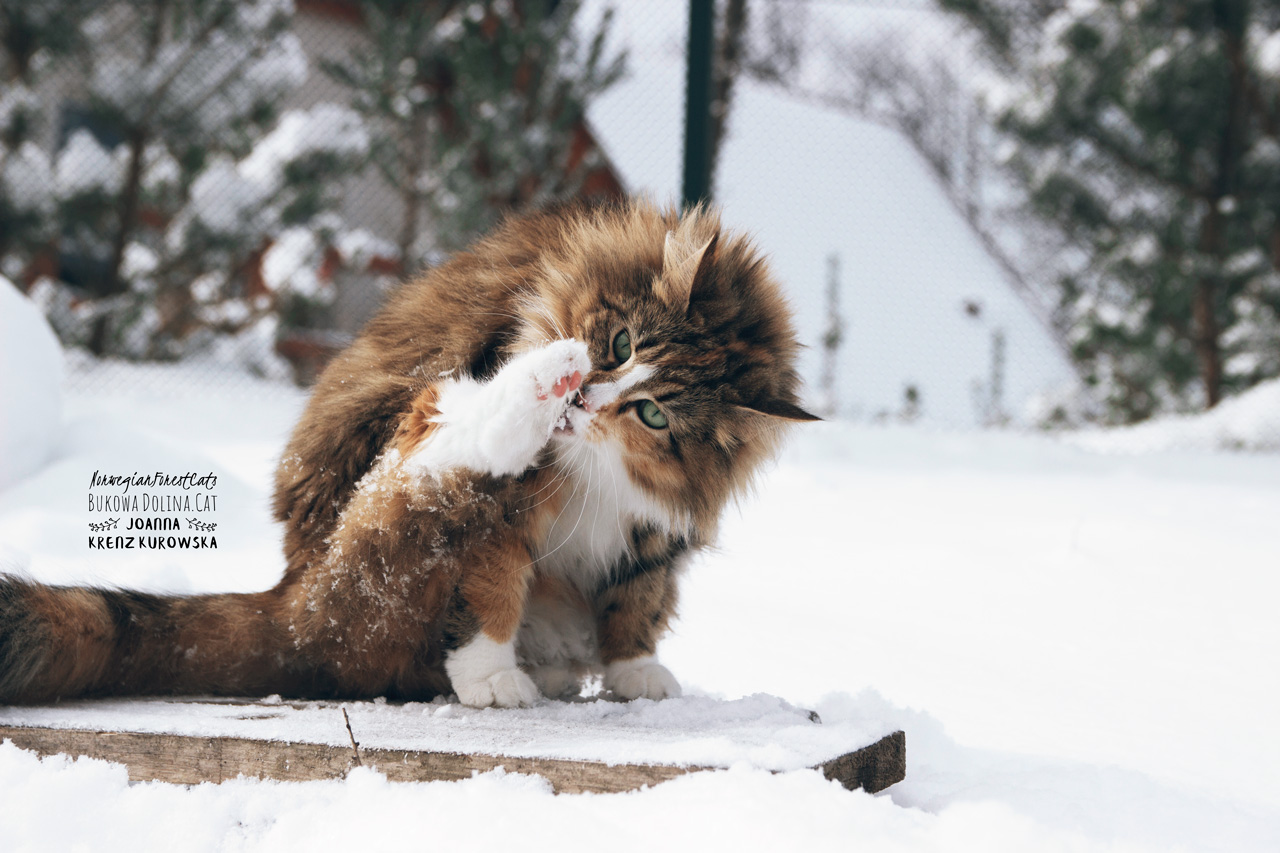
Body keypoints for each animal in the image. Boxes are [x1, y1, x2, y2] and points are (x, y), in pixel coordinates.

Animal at [0, 199, 816, 708]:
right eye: (619, 345)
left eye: (651, 414)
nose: (585, 397)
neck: (600, 467)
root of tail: (294, 599)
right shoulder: (508, 518)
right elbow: (491, 594)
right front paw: (491, 677)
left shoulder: (655, 528)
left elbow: (636, 602)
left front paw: (635, 670)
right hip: (389, 495)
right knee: (431, 452)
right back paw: (533, 386)